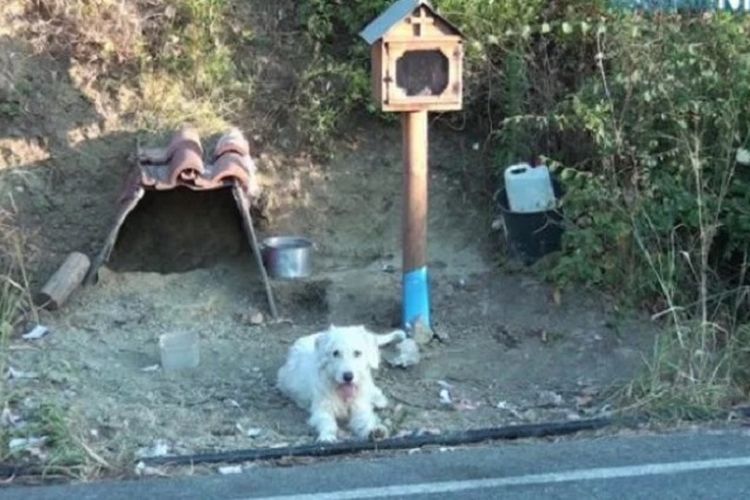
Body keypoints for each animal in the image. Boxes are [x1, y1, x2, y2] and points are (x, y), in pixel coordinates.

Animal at [276, 324, 406, 442]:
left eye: (357, 353)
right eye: (335, 353)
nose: (348, 377)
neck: (341, 392)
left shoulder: (360, 408)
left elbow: (365, 420)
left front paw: (375, 431)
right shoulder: (321, 409)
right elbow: (327, 422)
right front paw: (327, 437)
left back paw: (378, 399)